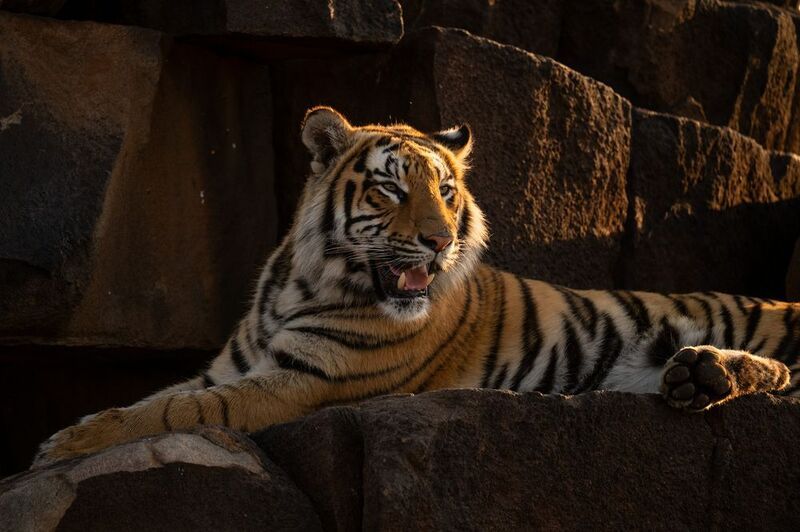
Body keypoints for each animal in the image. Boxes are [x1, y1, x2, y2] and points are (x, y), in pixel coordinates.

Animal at [35, 106, 799, 466]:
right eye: (392, 189)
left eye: (447, 190)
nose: (438, 240)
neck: (303, 282)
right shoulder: (233, 366)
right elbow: (159, 399)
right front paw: (75, 435)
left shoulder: (310, 381)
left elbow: (178, 413)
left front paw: (63, 445)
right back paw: (690, 378)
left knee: (787, 377)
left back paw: (705, 373)